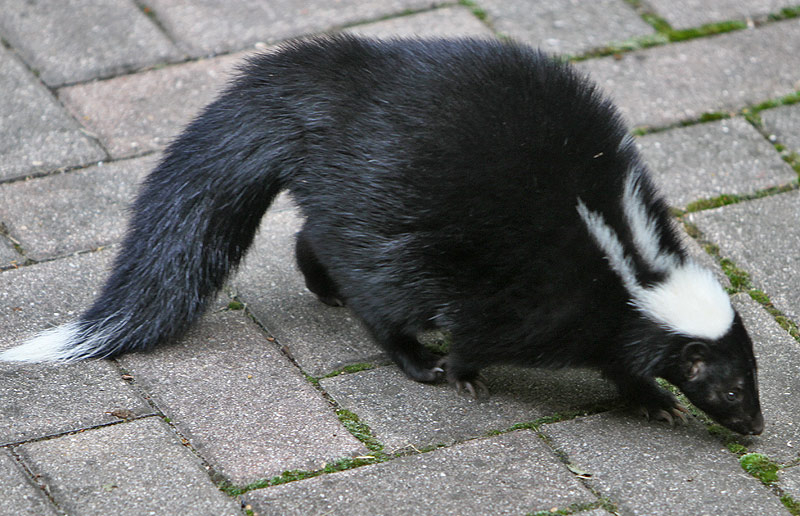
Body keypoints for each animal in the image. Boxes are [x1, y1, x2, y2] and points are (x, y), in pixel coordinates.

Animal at [0, 34, 764, 434]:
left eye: (750, 381)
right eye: (730, 389)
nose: (756, 426)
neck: (628, 261)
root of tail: (335, 98)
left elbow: (621, 358)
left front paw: (653, 399)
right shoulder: (534, 296)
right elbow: (483, 333)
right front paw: (463, 374)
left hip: (362, 204)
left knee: (319, 238)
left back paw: (325, 287)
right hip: (392, 211)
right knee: (380, 287)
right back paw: (414, 357)